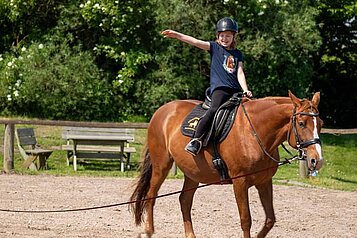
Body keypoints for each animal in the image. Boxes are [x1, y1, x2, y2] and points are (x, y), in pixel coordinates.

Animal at [130, 91, 322, 238]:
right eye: (301, 123)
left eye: (320, 124)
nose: (317, 160)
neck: (254, 133)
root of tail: (162, 110)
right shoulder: (240, 182)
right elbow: (246, 220)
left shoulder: (264, 182)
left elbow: (270, 219)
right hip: (161, 165)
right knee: (151, 195)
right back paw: (148, 231)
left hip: (193, 173)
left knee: (184, 201)